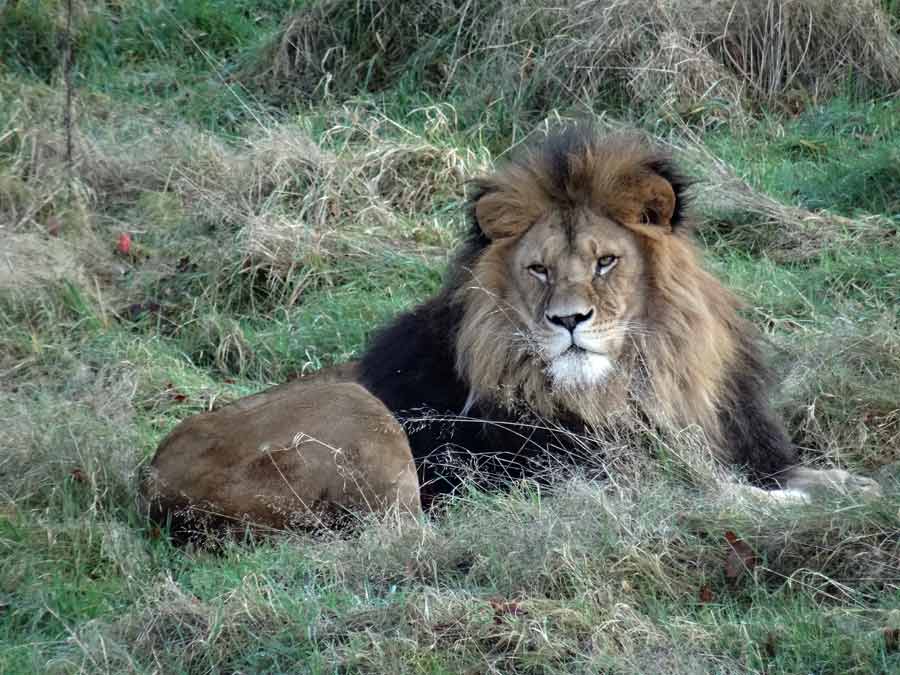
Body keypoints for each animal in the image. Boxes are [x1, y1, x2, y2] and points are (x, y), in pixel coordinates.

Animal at [358, 128, 880, 508]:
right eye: (539, 269)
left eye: (605, 262)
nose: (569, 319)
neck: (631, 388)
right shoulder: (580, 479)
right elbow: (716, 490)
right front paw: (785, 504)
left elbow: (804, 474)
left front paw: (858, 486)